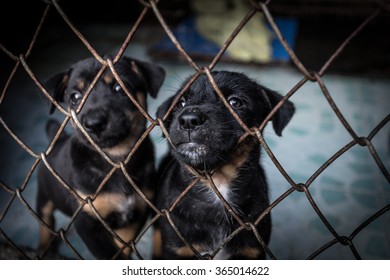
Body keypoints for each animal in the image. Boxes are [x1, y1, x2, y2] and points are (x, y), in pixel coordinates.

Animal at [36, 55, 165, 260]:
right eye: (75, 97)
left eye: (119, 88)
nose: (94, 123)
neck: (115, 160)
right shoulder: (87, 218)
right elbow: (108, 253)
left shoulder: (136, 213)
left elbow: (122, 246)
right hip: (44, 196)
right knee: (44, 223)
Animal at [154, 71, 294, 260]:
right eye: (181, 103)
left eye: (234, 102)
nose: (188, 120)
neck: (219, 184)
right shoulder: (177, 249)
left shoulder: (251, 251)